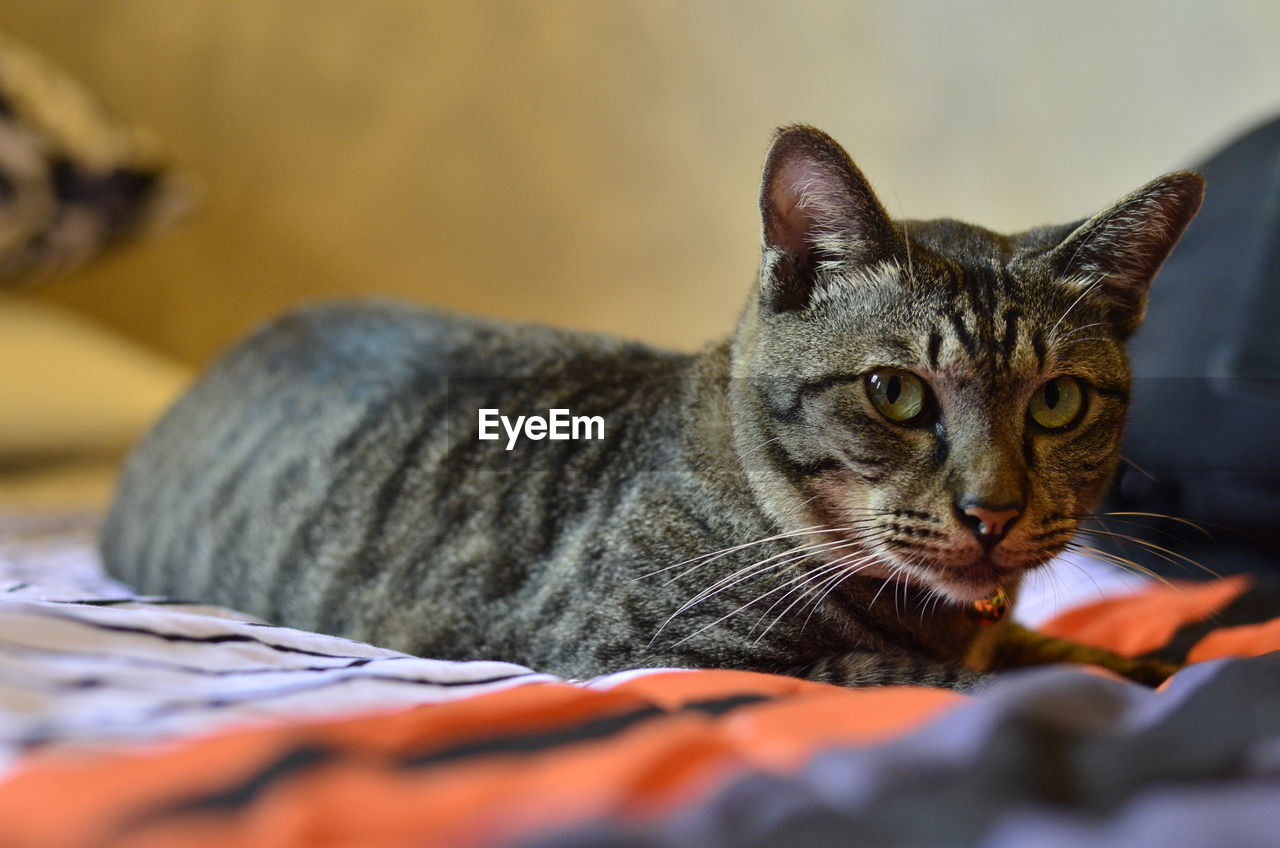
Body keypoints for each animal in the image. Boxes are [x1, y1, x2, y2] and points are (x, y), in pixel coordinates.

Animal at [104, 126, 1203, 691]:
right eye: (893, 392)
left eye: (1057, 401)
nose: (993, 511)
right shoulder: (644, 653)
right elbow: (918, 673)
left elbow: (1057, 649)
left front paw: (1135, 656)